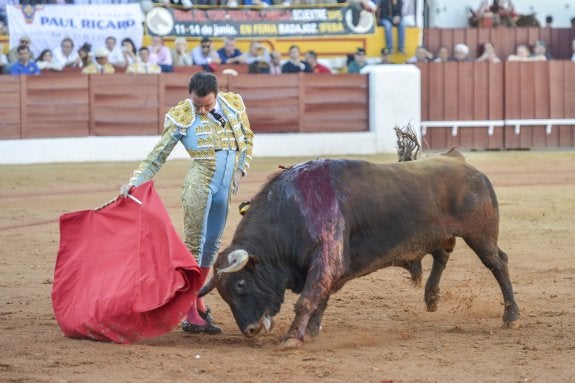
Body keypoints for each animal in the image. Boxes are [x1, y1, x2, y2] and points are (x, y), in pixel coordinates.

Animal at [201, 150, 520, 348]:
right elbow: (320, 299)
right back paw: (431, 299)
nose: (250, 330)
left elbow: (307, 299)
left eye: (241, 284)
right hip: (439, 234)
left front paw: (294, 338)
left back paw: (511, 316)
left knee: (498, 263)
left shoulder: (327, 260)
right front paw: (311, 332)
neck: (291, 211)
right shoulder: (329, 268)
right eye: (224, 294)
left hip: (481, 234)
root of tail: (458, 159)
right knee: (442, 254)